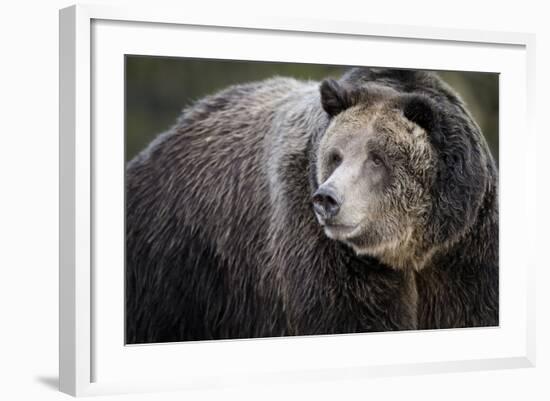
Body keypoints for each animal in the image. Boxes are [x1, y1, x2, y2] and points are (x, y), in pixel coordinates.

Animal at [126, 67, 500, 342]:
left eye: (377, 158)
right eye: (336, 155)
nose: (327, 199)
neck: (409, 249)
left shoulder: (463, 249)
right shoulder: (324, 250)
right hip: (179, 265)